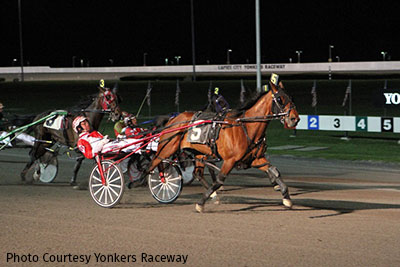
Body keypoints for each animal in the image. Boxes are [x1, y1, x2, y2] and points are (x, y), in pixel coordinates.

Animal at [150, 79, 300, 214]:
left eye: (291, 97)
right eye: (280, 99)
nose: (295, 119)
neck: (246, 126)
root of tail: (173, 119)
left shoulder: (254, 159)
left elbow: (274, 171)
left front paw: (286, 197)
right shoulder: (230, 160)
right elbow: (219, 180)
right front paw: (200, 203)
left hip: (198, 152)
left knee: (197, 173)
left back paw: (213, 195)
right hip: (166, 149)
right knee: (153, 165)